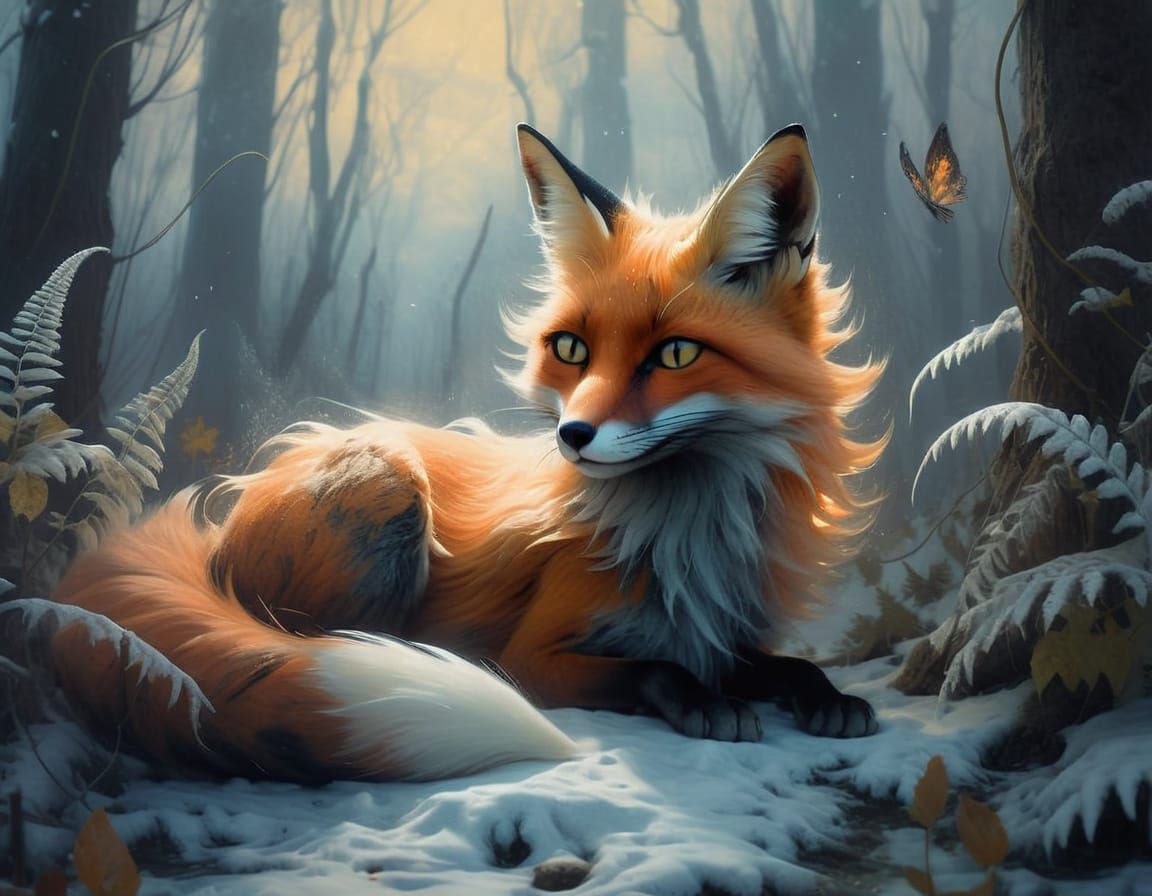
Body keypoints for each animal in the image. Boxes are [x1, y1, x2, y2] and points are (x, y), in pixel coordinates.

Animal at [50, 123, 885, 783]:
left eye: (676, 354)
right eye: (571, 349)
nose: (571, 436)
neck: (687, 538)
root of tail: (223, 523)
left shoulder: (722, 633)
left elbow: (777, 663)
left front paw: (825, 697)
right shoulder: (533, 658)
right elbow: (659, 669)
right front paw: (708, 704)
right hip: (386, 490)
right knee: (294, 640)